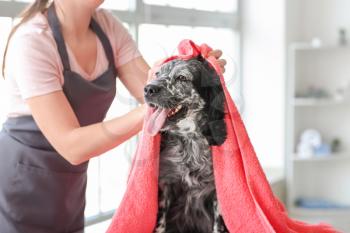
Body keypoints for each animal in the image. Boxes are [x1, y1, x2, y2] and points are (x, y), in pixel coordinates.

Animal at [144, 57, 228, 233]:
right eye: (157, 74)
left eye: (182, 77)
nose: (148, 89)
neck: (190, 142)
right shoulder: (165, 184)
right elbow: (160, 222)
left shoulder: (217, 192)